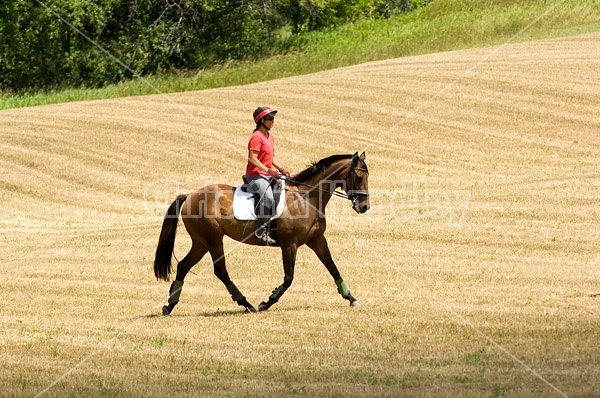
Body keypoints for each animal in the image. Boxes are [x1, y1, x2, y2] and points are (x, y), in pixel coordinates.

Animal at [154, 152, 370, 314]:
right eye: (359, 177)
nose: (365, 206)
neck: (307, 198)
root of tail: (190, 195)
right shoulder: (289, 244)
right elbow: (289, 278)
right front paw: (267, 302)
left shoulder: (317, 239)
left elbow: (333, 268)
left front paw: (352, 298)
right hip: (213, 239)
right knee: (220, 271)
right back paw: (247, 304)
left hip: (201, 242)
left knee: (183, 265)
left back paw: (169, 305)